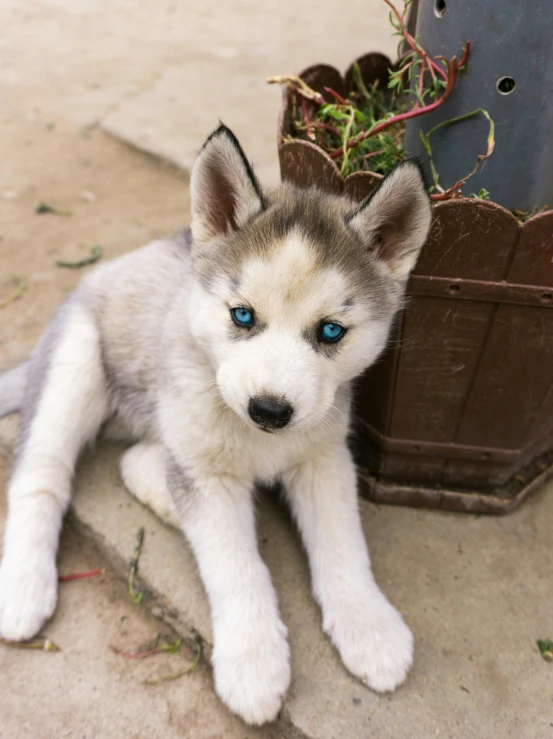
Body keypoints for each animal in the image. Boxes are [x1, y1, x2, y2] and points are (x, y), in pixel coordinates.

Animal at [0, 124, 432, 724]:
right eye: (242, 315)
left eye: (330, 331)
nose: (269, 410)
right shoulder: (207, 479)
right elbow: (235, 566)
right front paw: (253, 660)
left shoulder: (324, 459)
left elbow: (344, 544)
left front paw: (369, 626)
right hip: (75, 365)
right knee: (41, 477)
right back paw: (24, 584)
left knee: (136, 460)